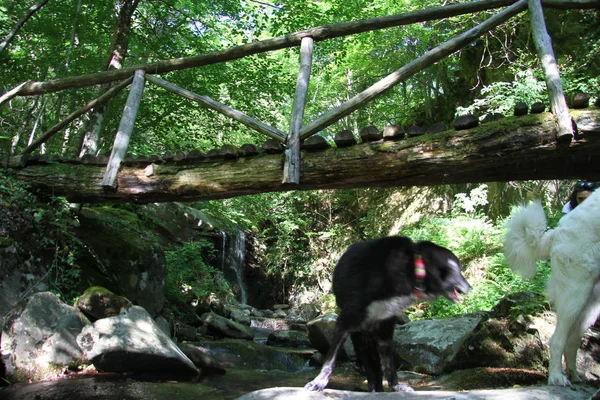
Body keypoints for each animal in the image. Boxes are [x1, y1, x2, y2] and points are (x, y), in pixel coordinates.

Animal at [304, 236, 468, 392]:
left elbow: (389, 366)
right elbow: (330, 360)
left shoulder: (385, 331)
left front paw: (396, 386)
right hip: (359, 337)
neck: (410, 268)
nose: (469, 287)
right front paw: (318, 382)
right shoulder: (344, 323)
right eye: (456, 269)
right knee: (369, 367)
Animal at [504, 189, 600, 386]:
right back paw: (557, 377)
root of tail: (556, 233)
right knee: (557, 341)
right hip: (576, 294)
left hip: (590, 305)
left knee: (572, 342)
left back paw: (575, 376)